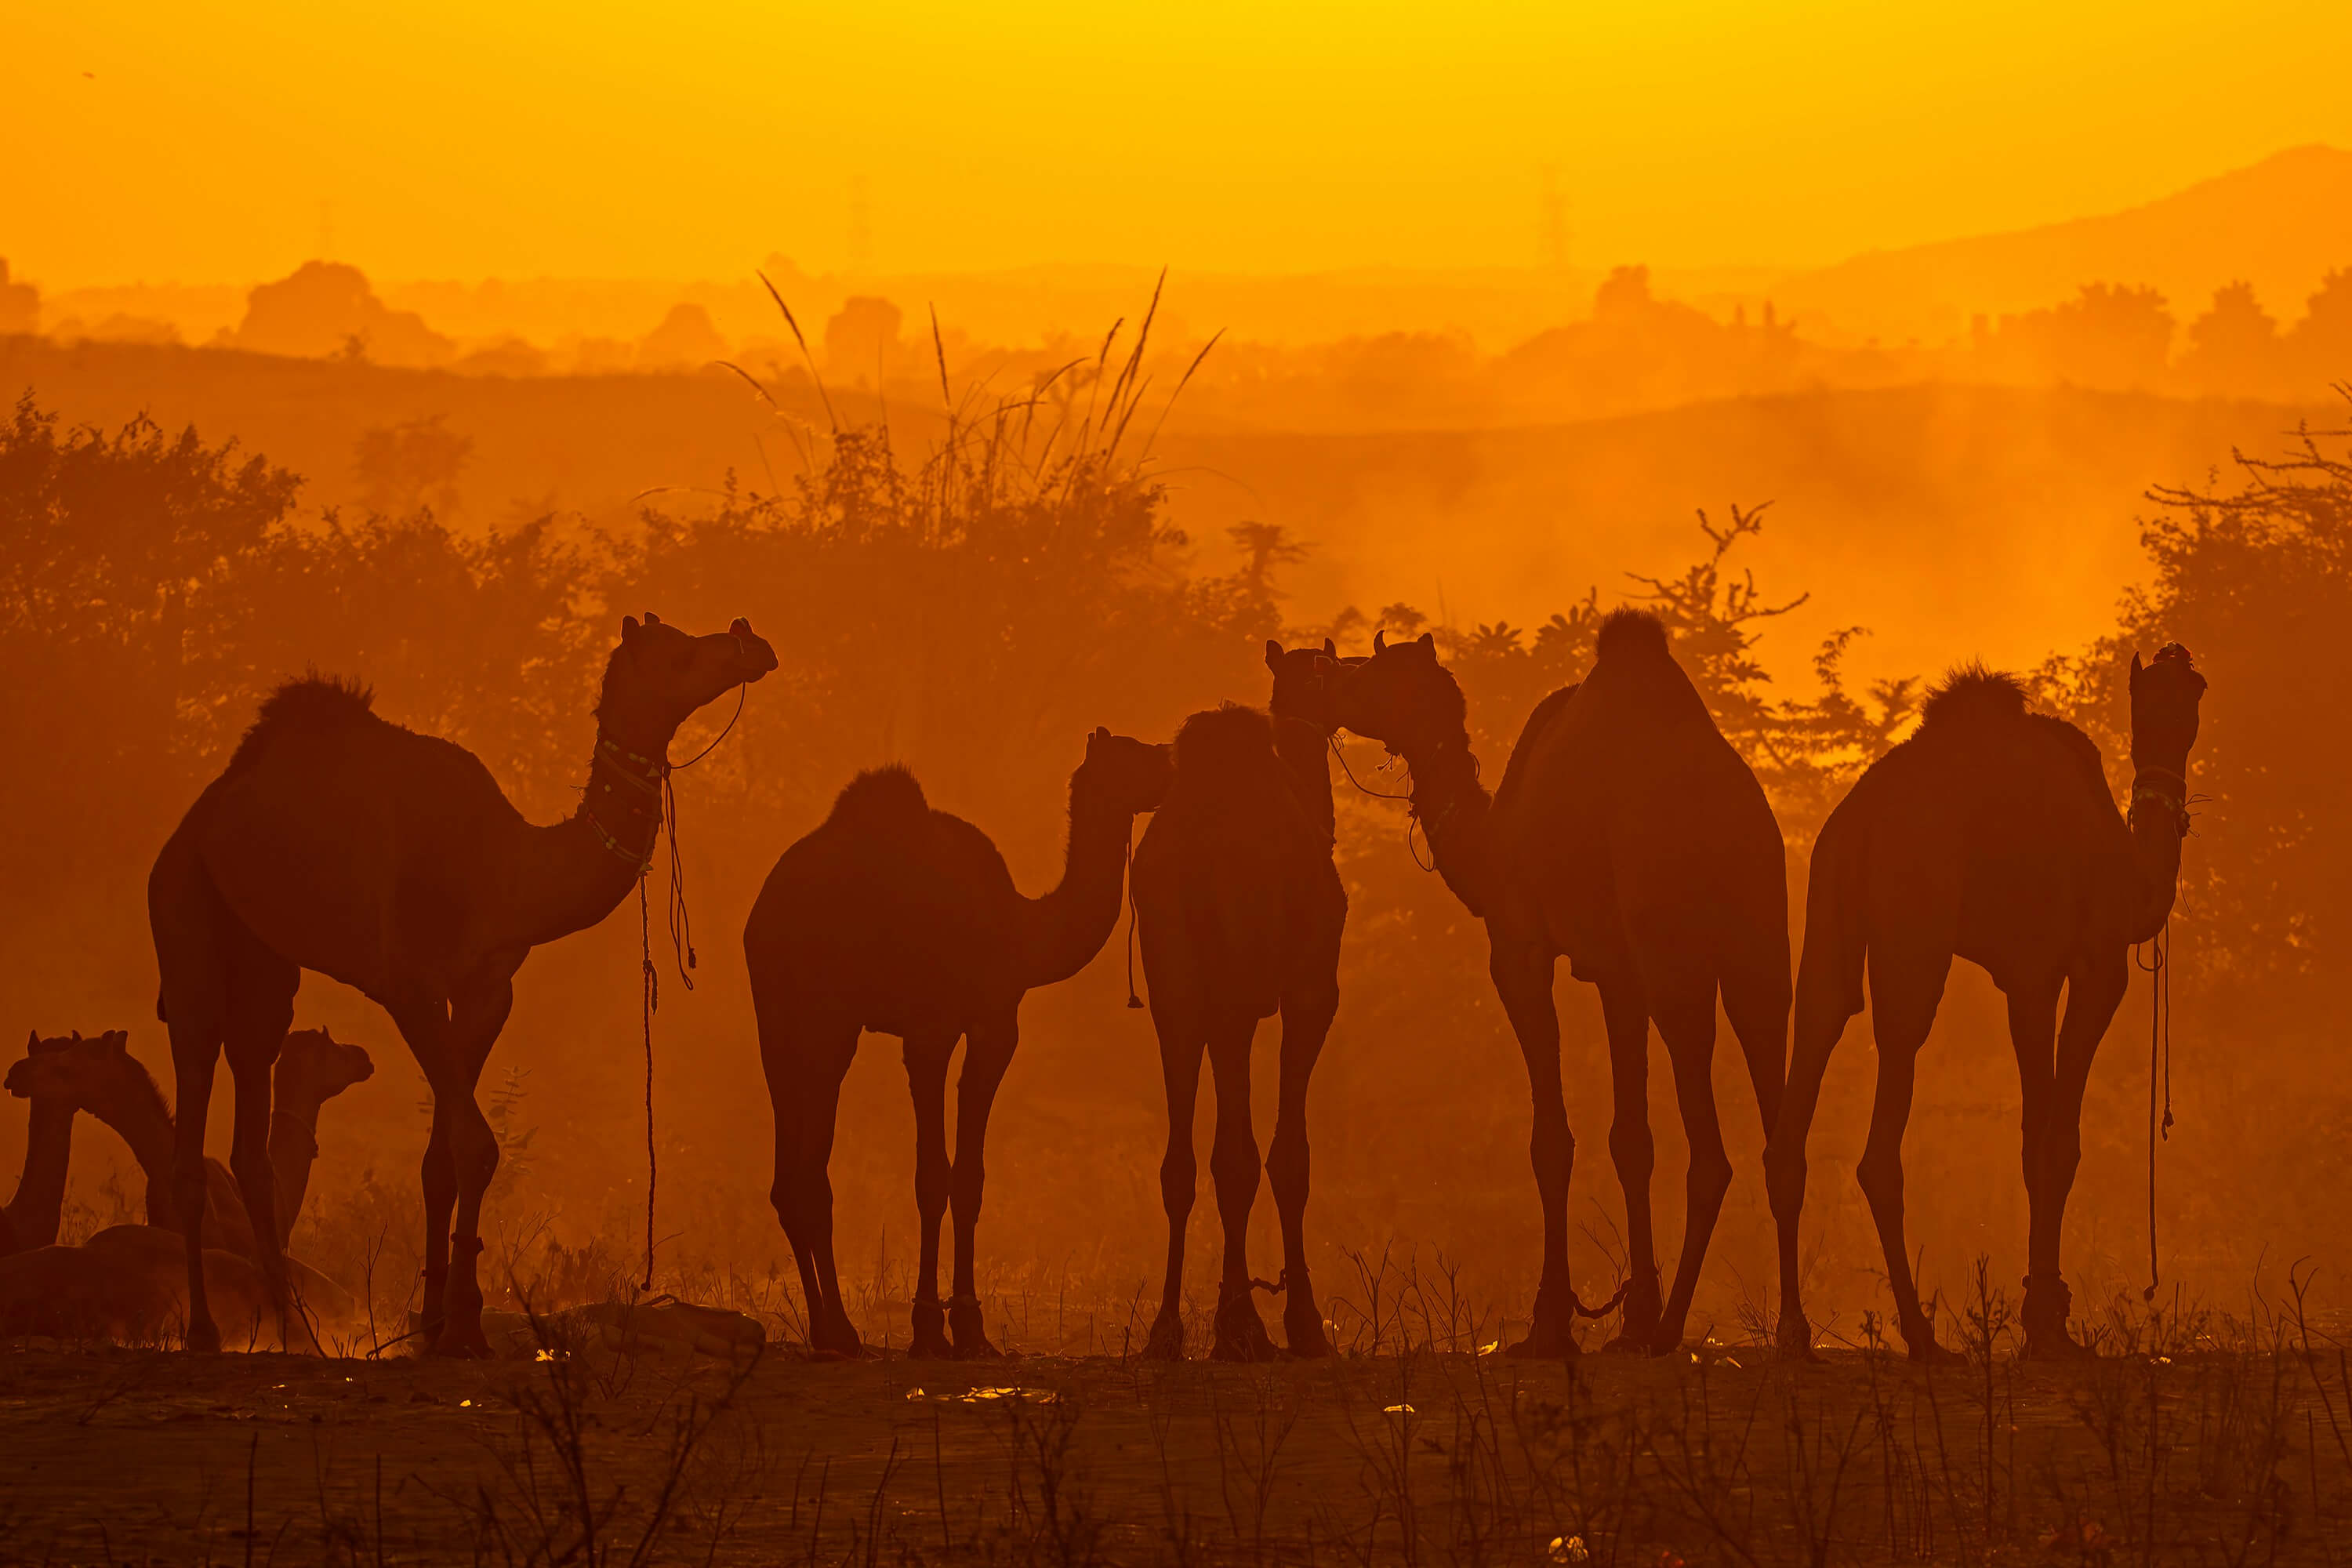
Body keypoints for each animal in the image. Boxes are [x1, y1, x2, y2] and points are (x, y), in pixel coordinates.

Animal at [150, 611, 776, 1353]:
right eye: (679, 653)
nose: (751, 641)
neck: (507, 868)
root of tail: (202, 817)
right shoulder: (409, 986)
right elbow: (476, 1144)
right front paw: (464, 1329)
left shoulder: (486, 989)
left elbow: (442, 1157)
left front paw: (438, 1324)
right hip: (184, 915)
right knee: (192, 1099)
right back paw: (204, 1332)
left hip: (266, 961)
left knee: (252, 1110)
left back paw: (298, 1332)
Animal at [745, 727, 1172, 1358]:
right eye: (1135, 752)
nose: (1175, 761)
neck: (1019, 929)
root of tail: (762, 918)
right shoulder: (938, 1028)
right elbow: (933, 1176)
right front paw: (931, 1327)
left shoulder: (990, 1025)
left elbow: (968, 1177)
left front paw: (969, 1328)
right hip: (823, 1023)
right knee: (809, 1173)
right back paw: (841, 1331)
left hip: (779, 1026)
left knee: (791, 1177)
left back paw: (827, 1331)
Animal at [1133, 701, 1347, 1360]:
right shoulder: (1311, 993)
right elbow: (1287, 1158)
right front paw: (1300, 1326)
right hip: (1232, 982)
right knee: (1235, 1154)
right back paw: (1244, 1325)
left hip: (1172, 982)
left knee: (1179, 1162)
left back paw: (1166, 1331)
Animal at [1317, 613, 1794, 1356]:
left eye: (1373, 675)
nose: (1327, 688)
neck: (1494, 839)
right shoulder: (1618, 974)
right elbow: (1632, 1141)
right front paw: (1630, 1317)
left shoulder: (1521, 949)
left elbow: (1551, 1140)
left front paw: (1549, 1324)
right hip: (1764, 954)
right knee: (1780, 1129)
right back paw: (1790, 1328)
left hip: (1678, 961)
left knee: (1713, 1154)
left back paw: (1672, 1330)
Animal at [1765, 648, 2208, 1359]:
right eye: (2159, 693)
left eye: (2192, 691)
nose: (2177, 656)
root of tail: (1861, 821)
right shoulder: (2082, 967)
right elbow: (2056, 1142)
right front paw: (2049, 1324)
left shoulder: (2025, 978)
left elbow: (2034, 1139)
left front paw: (2045, 1312)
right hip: (1915, 922)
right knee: (1887, 1110)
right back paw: (1922, 1335)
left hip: (1825, 910)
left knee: (1815, 1033)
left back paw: (1795, 1331)